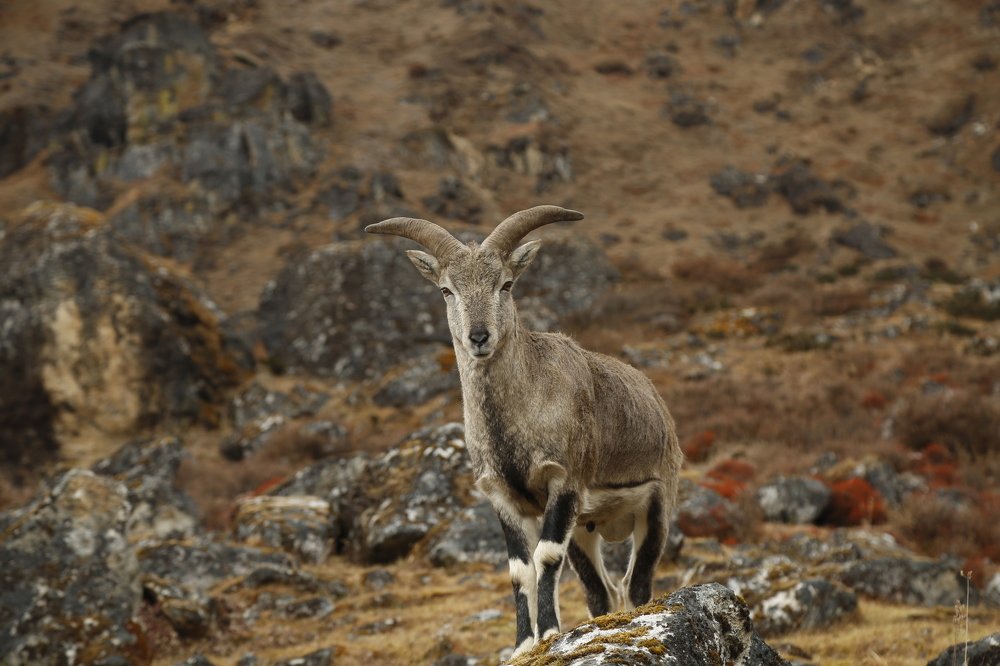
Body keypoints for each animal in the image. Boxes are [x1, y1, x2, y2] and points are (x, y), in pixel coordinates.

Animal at [366, 205, 682, 656]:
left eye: (506, 283)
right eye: (446, 290)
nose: (479, 337)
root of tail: (656, 402)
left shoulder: (564, 483)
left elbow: (546, 556)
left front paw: (548, 632)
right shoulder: (503, 497)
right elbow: (520, 569)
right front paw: (522, 644)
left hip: (655, 504)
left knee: (635, 583)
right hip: (585, 528)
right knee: (601, 590)